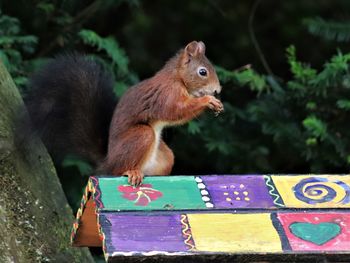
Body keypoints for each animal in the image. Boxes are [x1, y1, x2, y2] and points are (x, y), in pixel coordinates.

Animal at [24, 41, 223, 186]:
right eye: (202, 72)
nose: (217, 90)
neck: (177, 77)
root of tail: (107, 161)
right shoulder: (166, 94)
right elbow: (174, 111)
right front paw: (208, 101)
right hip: (140, 136)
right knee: (119, 169)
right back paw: (131, 172)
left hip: (164, 156)